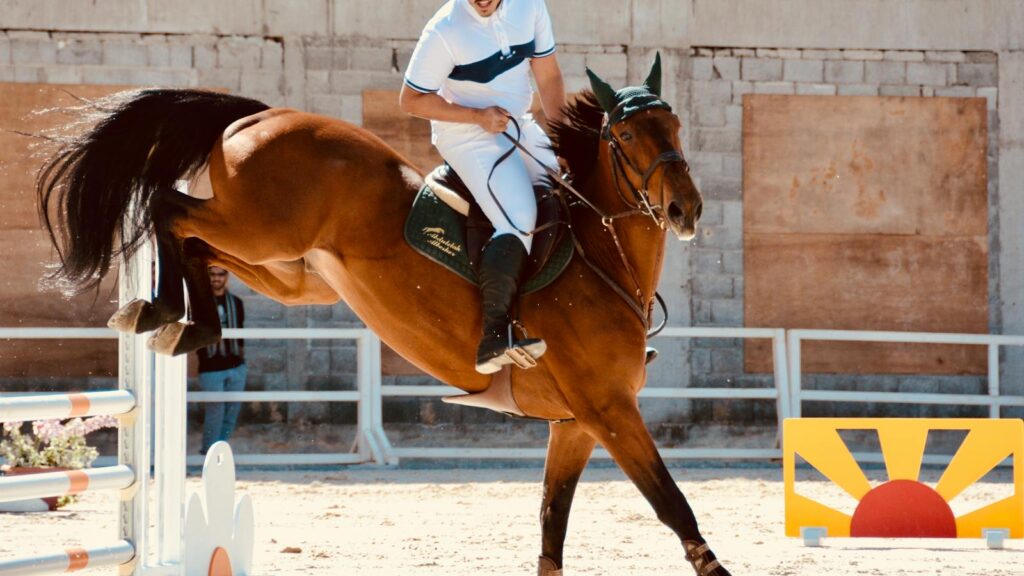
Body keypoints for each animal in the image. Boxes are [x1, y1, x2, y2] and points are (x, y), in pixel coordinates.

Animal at [36, 54, 726, 575]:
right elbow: (674, 507)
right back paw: (164, 312)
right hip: (262, 229)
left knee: (198, 243)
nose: (686, 209)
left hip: (291, 271)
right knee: (167, 206)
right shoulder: (609, 410)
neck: (601, 257)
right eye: (627, 136)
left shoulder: (574, 425)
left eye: (676, 126)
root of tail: (262, 114)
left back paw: (172, 317)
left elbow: (552, 526)